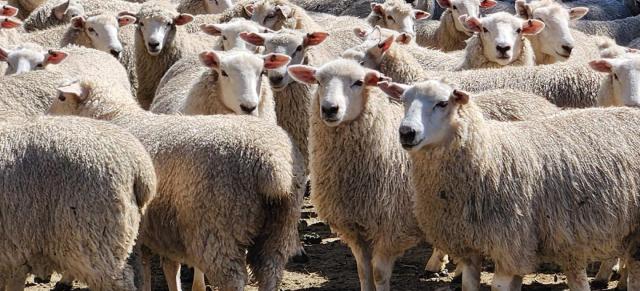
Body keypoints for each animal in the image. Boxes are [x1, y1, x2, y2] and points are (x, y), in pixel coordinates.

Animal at [48, 78, 304, 291]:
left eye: (61, 97)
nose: (47, 116)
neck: (115, 117)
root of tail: (273, 165)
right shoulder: (159, 225)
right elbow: (166, 267)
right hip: (280, 225)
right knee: (270, 270)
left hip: (219, 222)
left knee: (233, 279)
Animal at [390, 77, 640, 291]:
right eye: (404, 101)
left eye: (442, 103)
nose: (407, 132)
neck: (489, 156)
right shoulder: (470, 247)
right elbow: (469, 285)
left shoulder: (510, 245)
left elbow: (499, 286)